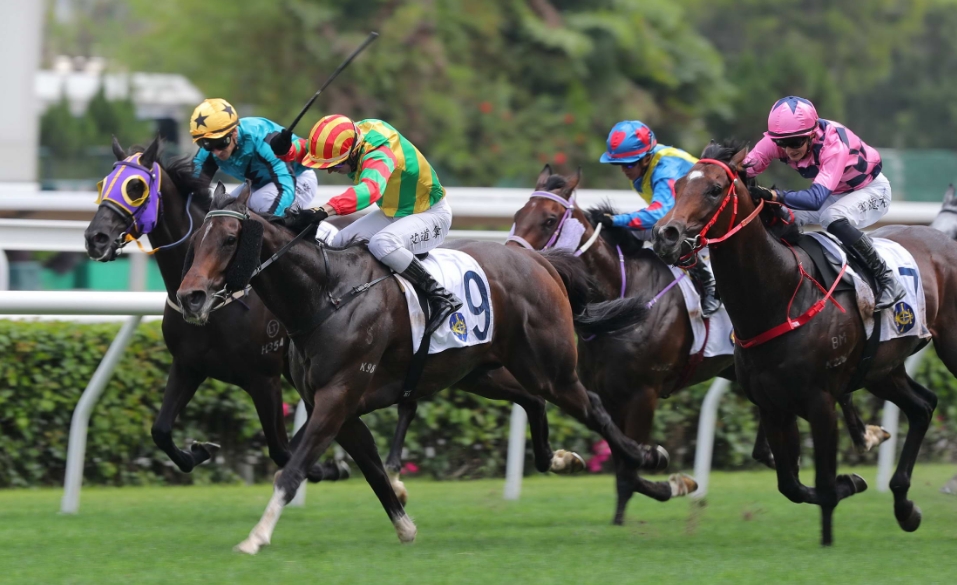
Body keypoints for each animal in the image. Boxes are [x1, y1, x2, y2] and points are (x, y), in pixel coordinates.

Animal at [83, 137, 345, 483]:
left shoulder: (264, 379)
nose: (95, 238)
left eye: (136, 186)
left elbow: (281, 450)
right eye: (103, 184)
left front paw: (323, 467)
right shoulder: (188, 365)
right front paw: (199, 450)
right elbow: (160, 430)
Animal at [177, 182, 671, 553]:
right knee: (533, 401)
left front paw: (255, 537)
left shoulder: (339, 397)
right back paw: (562, 459)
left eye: (228, 238)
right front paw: (405, 524)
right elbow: (372, 470)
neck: (326, 295)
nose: (190, 297)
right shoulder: (339, 407)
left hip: (552, 368)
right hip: (481, 373)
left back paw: (651, 462)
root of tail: (538, 259)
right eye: (196, 240)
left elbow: (293, 467)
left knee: (594, 408)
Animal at [506, 165, 886, 524]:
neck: (622, 296)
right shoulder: (609, 394)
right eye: (517, 214)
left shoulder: (642, 393)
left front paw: (670, 484)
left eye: (549, 219)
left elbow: (630, 470)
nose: (512, 260)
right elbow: (622, 457)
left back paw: (864, 436)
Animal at [653, 139, 957, 545]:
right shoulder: (772, 405)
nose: (665, 235)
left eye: (715, 189)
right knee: (923, 407)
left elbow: (823, 485)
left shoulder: (821, 402)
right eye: (679, 184)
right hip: (882, 368)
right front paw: (853, 482)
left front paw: (832, 525)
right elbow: (791, 485)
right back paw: (904, 506)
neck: (781, 297)